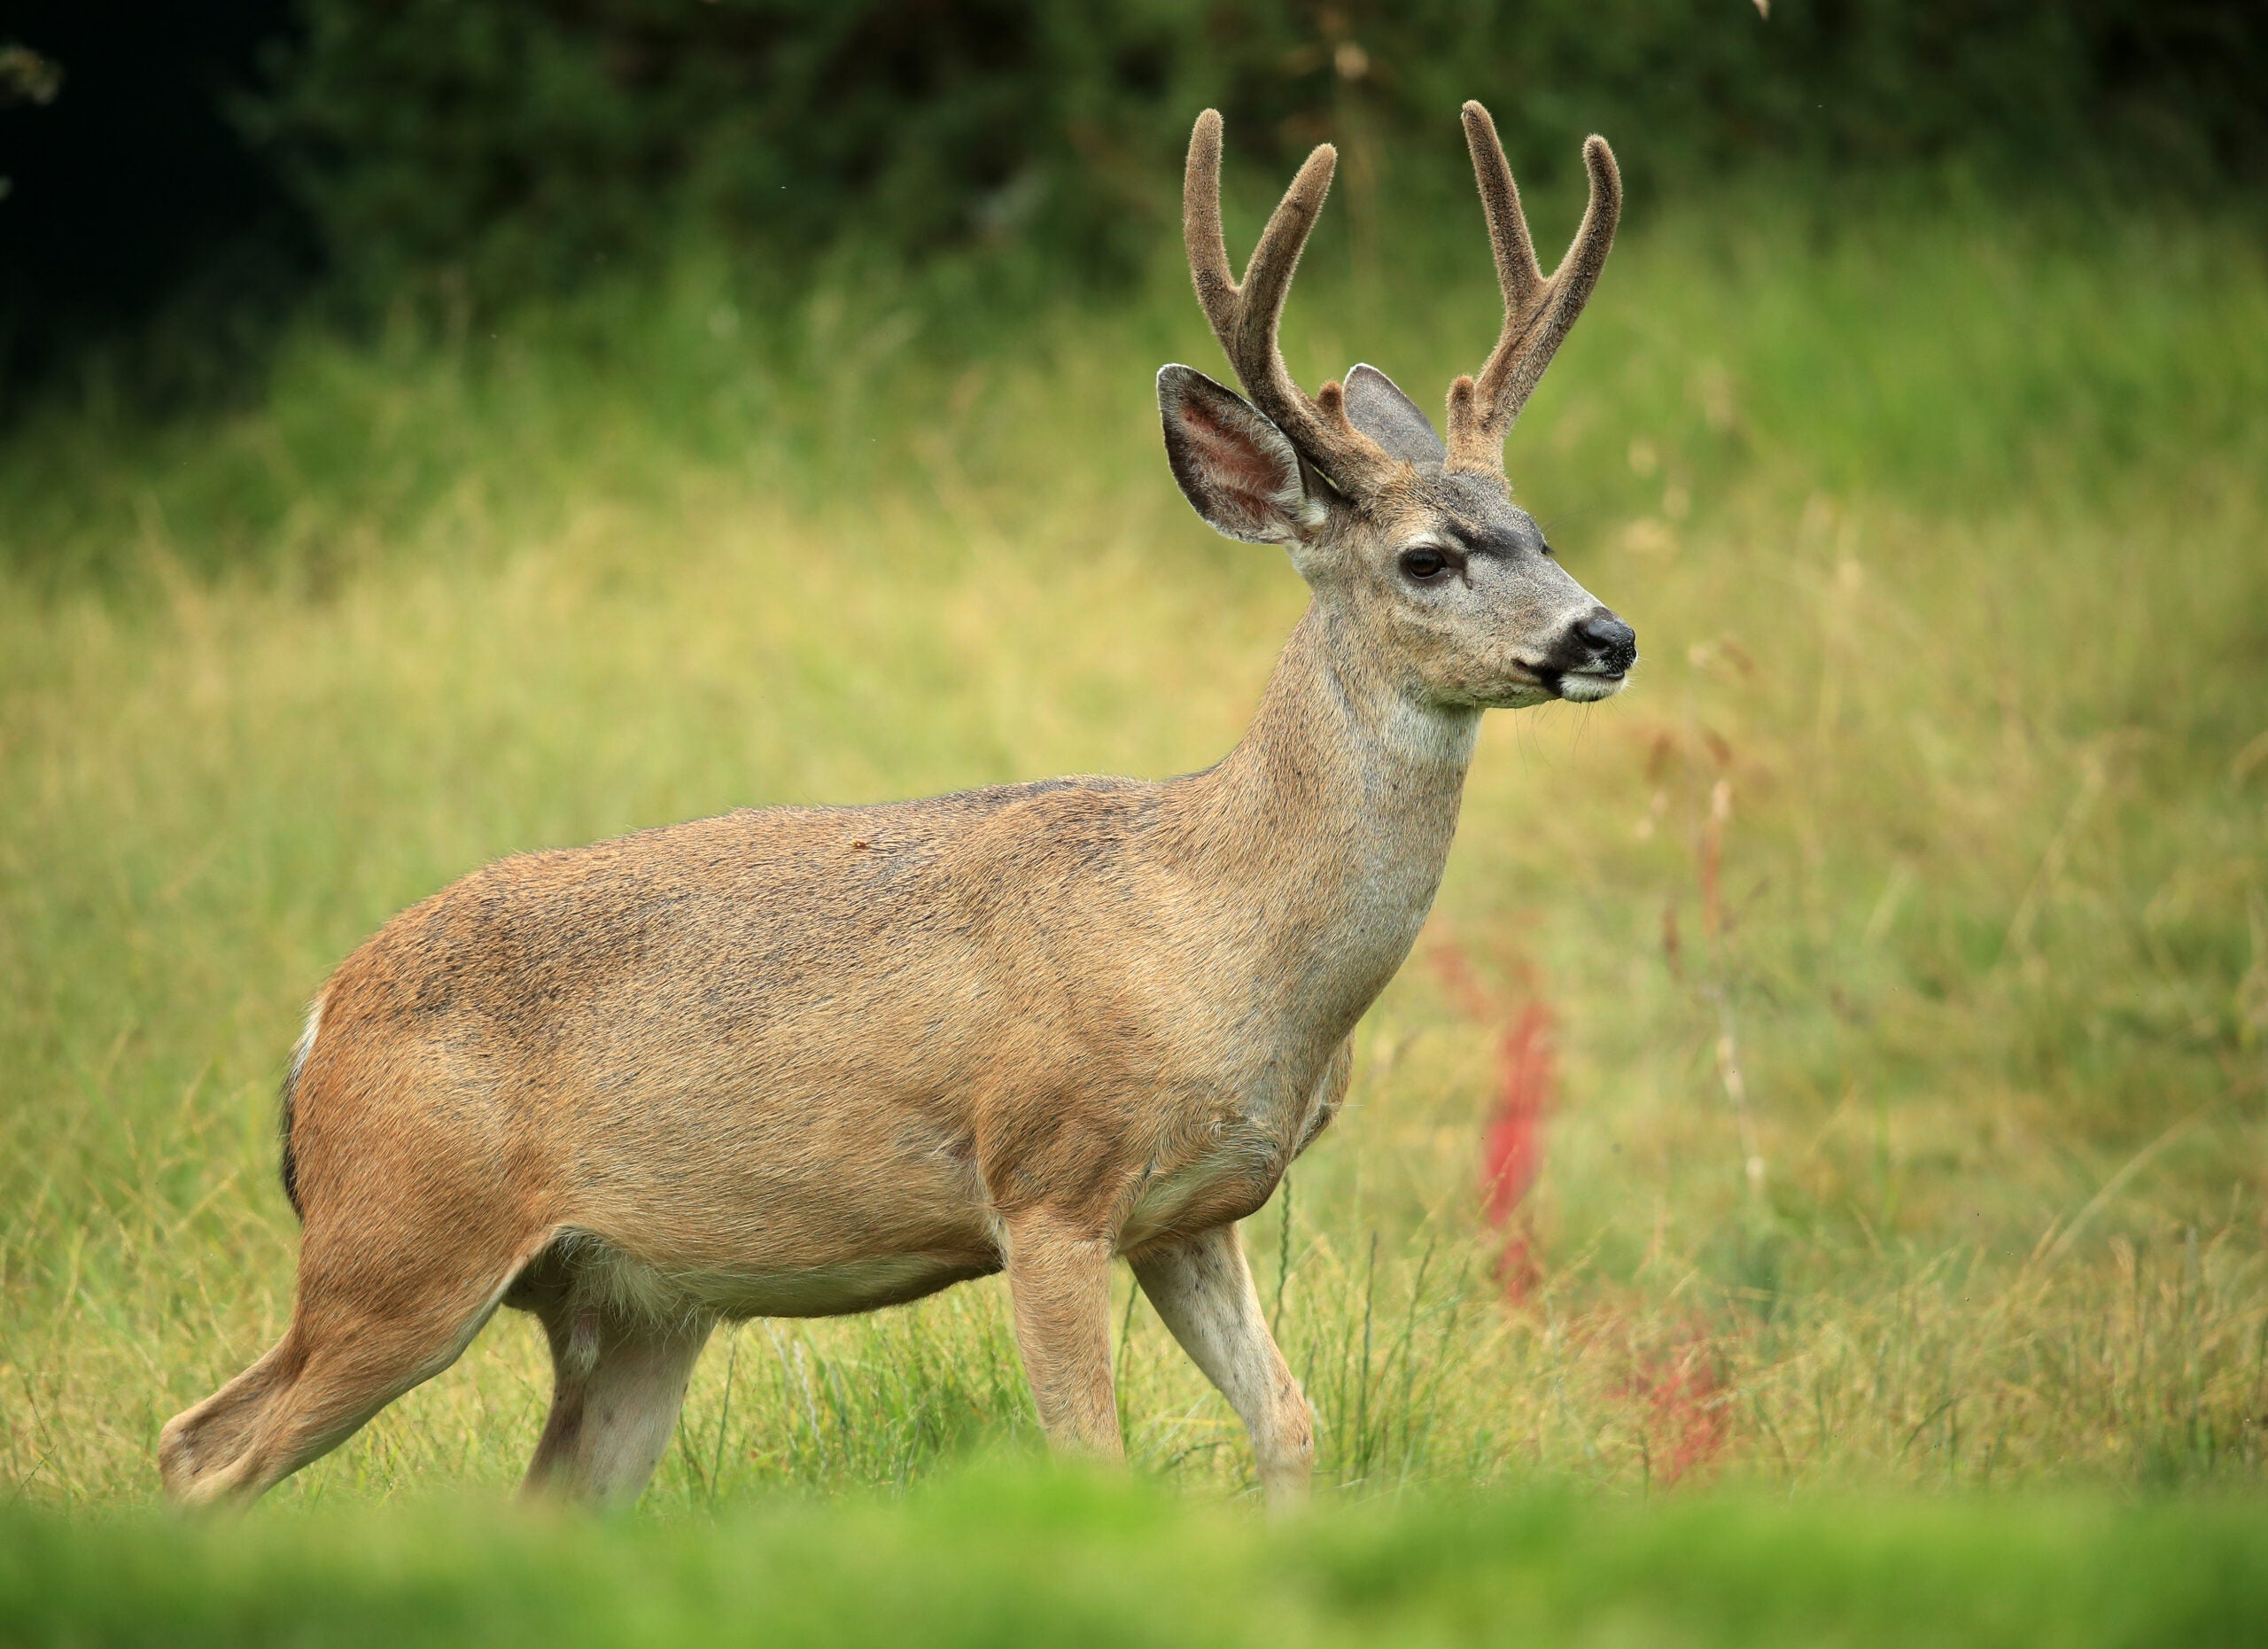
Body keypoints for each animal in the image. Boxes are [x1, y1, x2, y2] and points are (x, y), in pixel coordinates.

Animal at [159, 103, 1633, 1514]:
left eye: (1543, 533)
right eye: (1428, 558)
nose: (1604, 635)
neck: (1222, 927)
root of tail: (318, 1027)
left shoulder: (1193, 1213)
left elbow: (1292, 1423)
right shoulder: (1046, 1180)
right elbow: (1093, 1455)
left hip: (630, 1302)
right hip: (401, 1242)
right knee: (203, 1449)